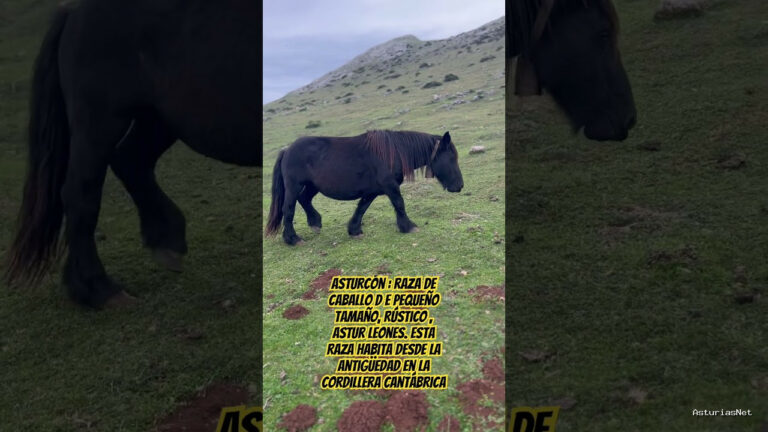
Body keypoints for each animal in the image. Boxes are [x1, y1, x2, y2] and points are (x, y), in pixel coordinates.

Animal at [3, 0, 261, 308]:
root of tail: (73, 12)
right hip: (100, 123)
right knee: (81, 193)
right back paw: (97, 287)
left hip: (157, 119)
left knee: (130, 162)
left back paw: (165, 240)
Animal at [265, 130, 464, 246]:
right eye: (452, 158)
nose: (460, 186)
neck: (393, 152)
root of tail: (287, 150)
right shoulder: (389, 186)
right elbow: (399, 204)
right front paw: (408, 226)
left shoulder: (373, 191)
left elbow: (362, 208)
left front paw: (354, 230)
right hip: (293, 186)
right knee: (288, 209)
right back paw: (292, 239)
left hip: (312, 186)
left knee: (304, 199)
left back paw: (315, 223)